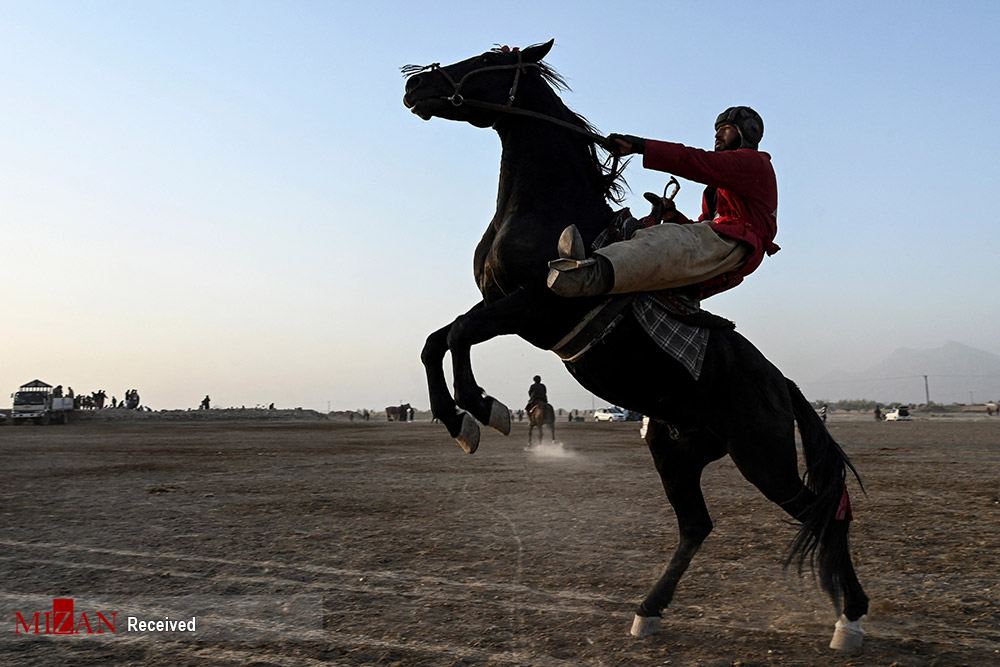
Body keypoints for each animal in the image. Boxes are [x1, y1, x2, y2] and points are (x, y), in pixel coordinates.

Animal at [402, 40, 872, 648]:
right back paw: (649, 610)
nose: (415, 85)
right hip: (676, 450)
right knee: (698, 525)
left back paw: (850, 617)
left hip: (762, 458)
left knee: (825, 511)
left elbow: (457, 335)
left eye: (485, 58)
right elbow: (436, 340)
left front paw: (481, 410)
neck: (548, 207)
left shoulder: (533, 309)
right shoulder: (500, 308)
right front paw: (460, 416)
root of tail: (779, 383)